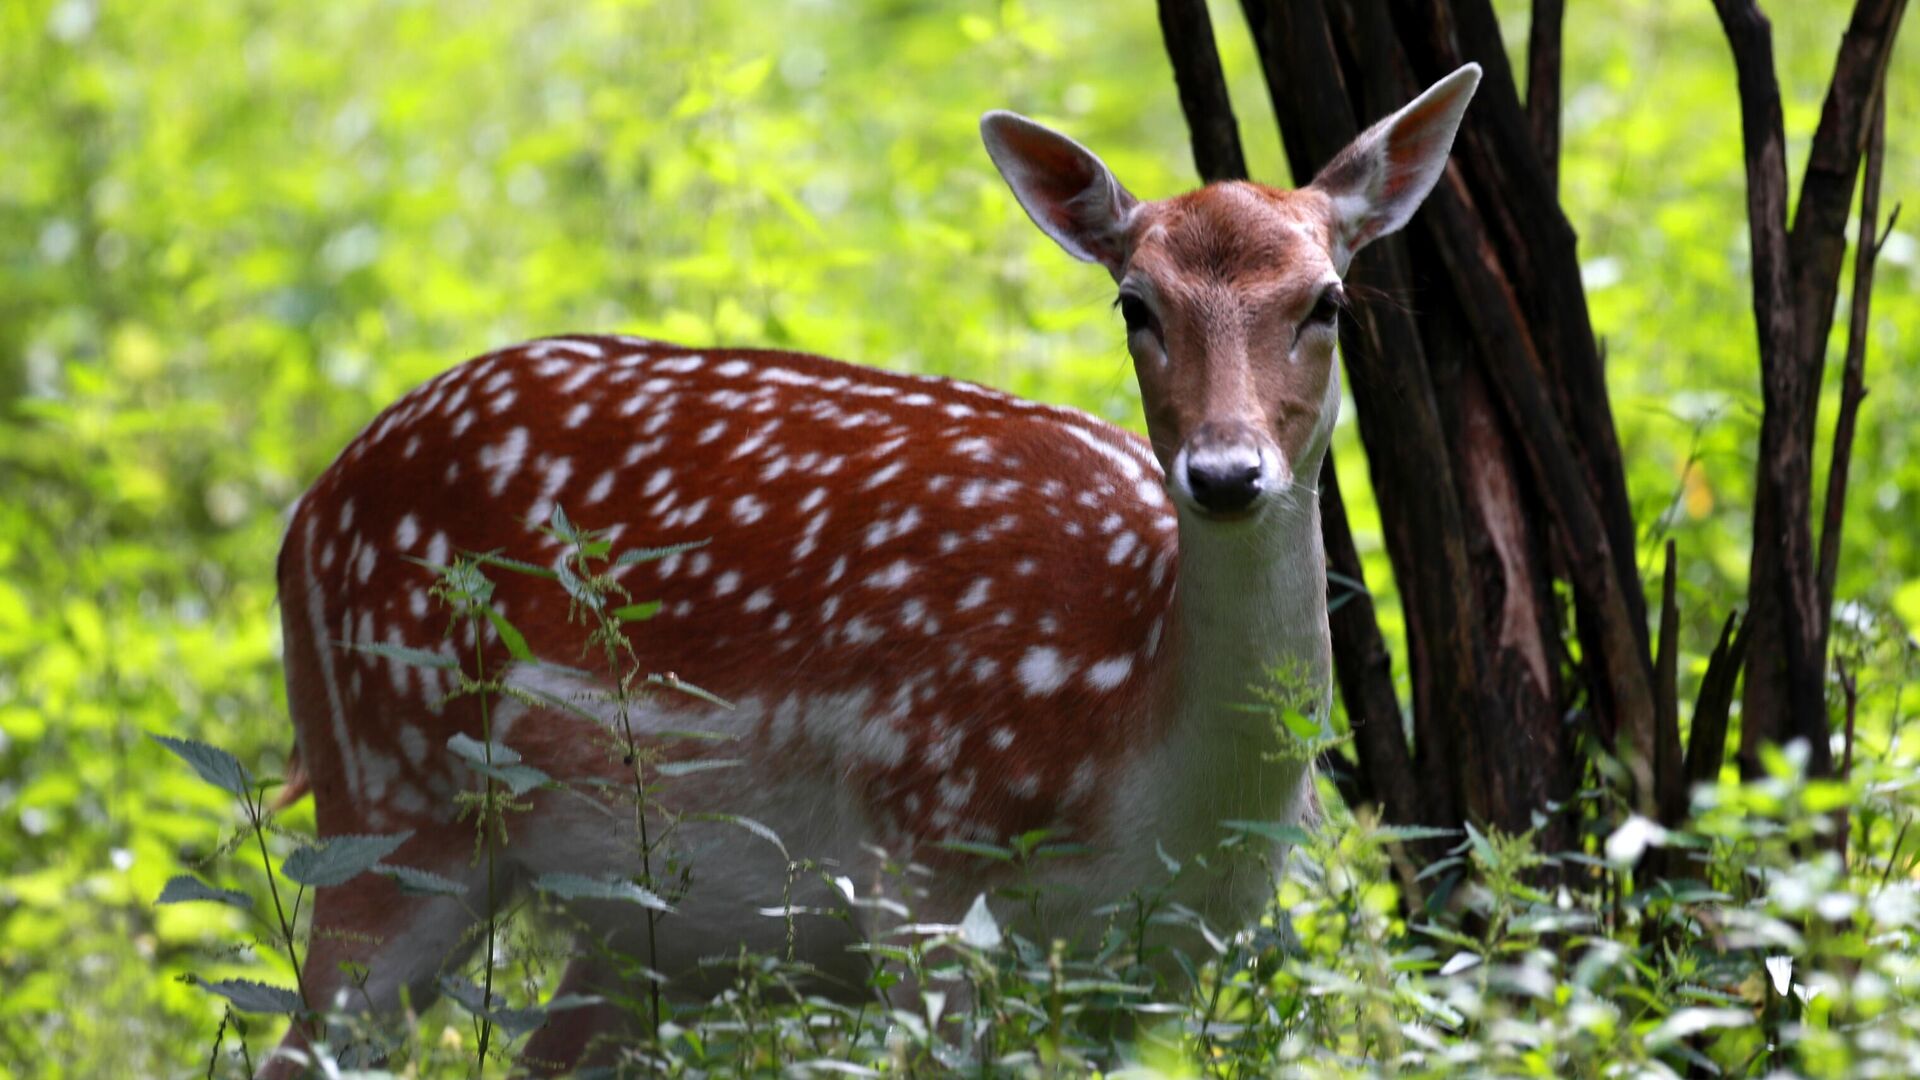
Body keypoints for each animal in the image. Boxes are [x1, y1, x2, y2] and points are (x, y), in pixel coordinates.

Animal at [263, 67, 1474, 1076]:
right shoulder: (920, 876)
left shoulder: (1157, 971)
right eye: (1134, 301)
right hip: (390, 796)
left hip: (643, 935)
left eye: (1326, 301)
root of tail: (305, 513)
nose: (1225, 471)